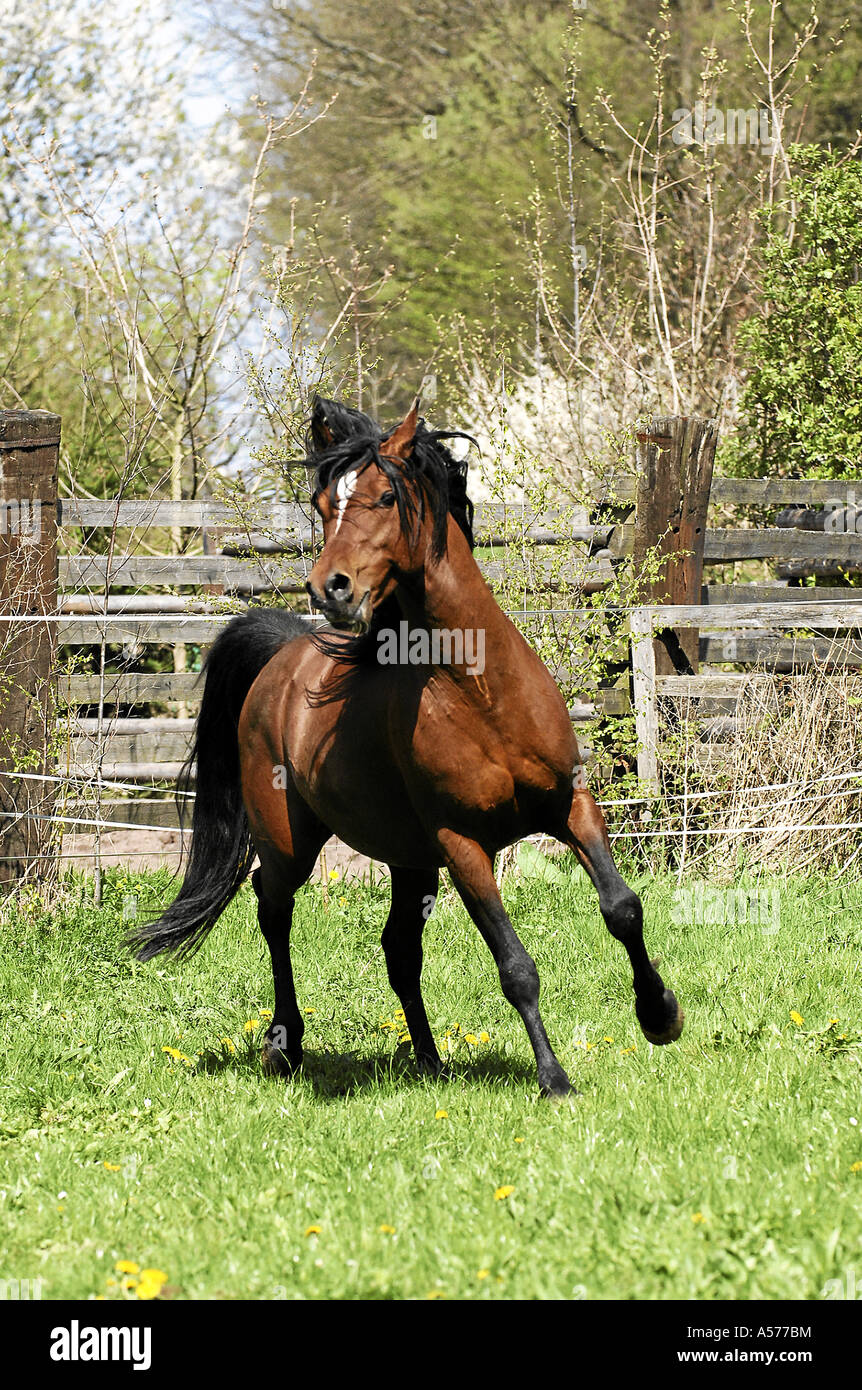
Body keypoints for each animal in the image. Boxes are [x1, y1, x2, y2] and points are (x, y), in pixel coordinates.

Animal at [134, 397, 684, 1089]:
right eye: (322, 503)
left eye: (385, 497)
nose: (330, 588)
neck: (480, 691)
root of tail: (281, 654)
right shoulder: (463, 845)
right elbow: (516, 967)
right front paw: (555, 1080)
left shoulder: (570, 805)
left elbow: (622, 908)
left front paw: (660, 1016)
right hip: (292, 843)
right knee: (273, 910)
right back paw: (285, 1047)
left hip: (408, 858)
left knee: (397, 949)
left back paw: (429, 1060)